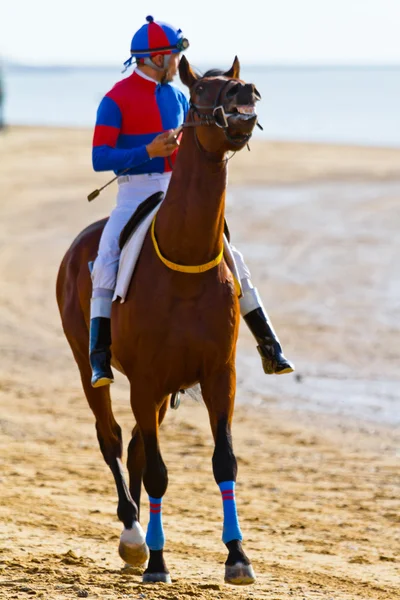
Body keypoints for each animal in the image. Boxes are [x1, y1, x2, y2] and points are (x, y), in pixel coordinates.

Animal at [57, 54, 260, 584]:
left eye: (236, 80)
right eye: (204, 89)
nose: (246, 92)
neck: (185, 260)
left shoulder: (218, 375)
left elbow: (224, 462)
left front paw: (237, 555)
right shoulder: (145, 381)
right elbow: (157, 471)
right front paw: (158, 560)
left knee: (132, 446)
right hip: (91, 368)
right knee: (111, 439)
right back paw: (132, 536)